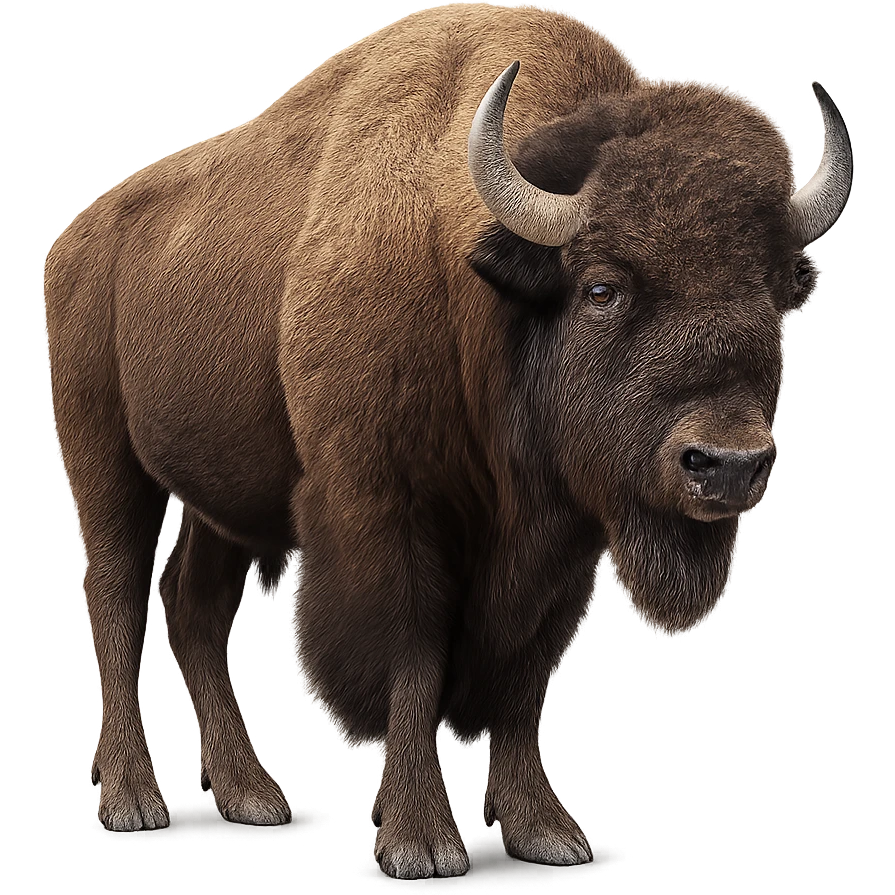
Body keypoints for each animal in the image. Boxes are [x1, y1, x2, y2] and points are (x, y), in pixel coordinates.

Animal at [46, 0, 850, 880]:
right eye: (601, 286)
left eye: (774, 289)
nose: (728, 464)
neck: (472, 279)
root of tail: (77, 235)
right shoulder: (390, 511)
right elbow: (412, 655)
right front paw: (420, 842)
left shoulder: (564, 542)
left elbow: (523, 678)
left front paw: (546, 832)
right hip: (105, 460)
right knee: (116, 600)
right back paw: (134, 799)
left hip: (221, 500)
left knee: (193, 607)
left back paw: (253, 794)